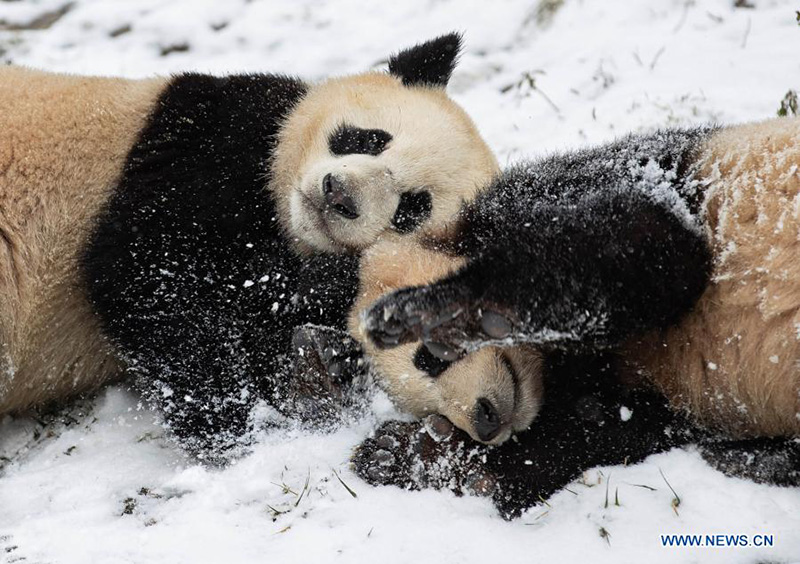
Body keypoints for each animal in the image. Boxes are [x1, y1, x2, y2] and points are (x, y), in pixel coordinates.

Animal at [0, 33, 500, 458]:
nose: (337, 195)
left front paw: (320, 363)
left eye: (411, 209)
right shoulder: (202, 144)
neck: (280, 217)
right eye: (370, 139)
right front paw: (233, 422)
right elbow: (147, 276)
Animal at [354, 117, 800, 516]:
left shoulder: (593, 182)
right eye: (432, 407)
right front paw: (406, 455)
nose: (485, 424)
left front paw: (443, 313)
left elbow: (649, 241)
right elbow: (595, 429)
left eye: (430, 359)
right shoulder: (653, 399)